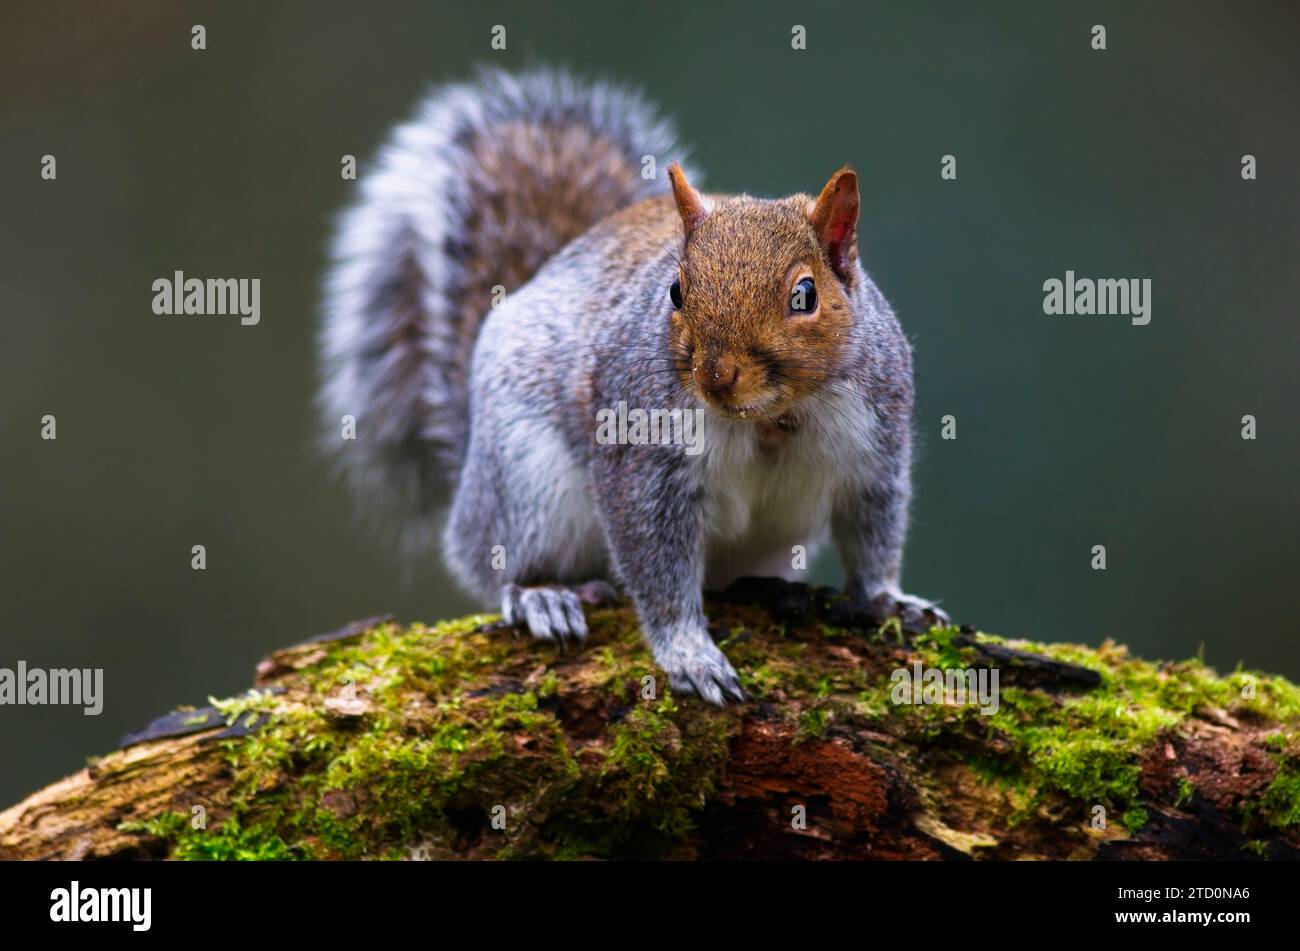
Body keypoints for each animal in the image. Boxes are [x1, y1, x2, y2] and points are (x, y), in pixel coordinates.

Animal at [314, 66, 946, 701]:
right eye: (675, 290)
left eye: (806, 296)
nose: (716, 378)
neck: (770, 417)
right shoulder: (643, 460)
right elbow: (656, 565)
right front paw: (689, 652)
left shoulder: (877, 447)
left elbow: (874, 533)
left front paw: (890, 600)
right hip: (525, 481)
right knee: (494, 562)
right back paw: (542, 595)